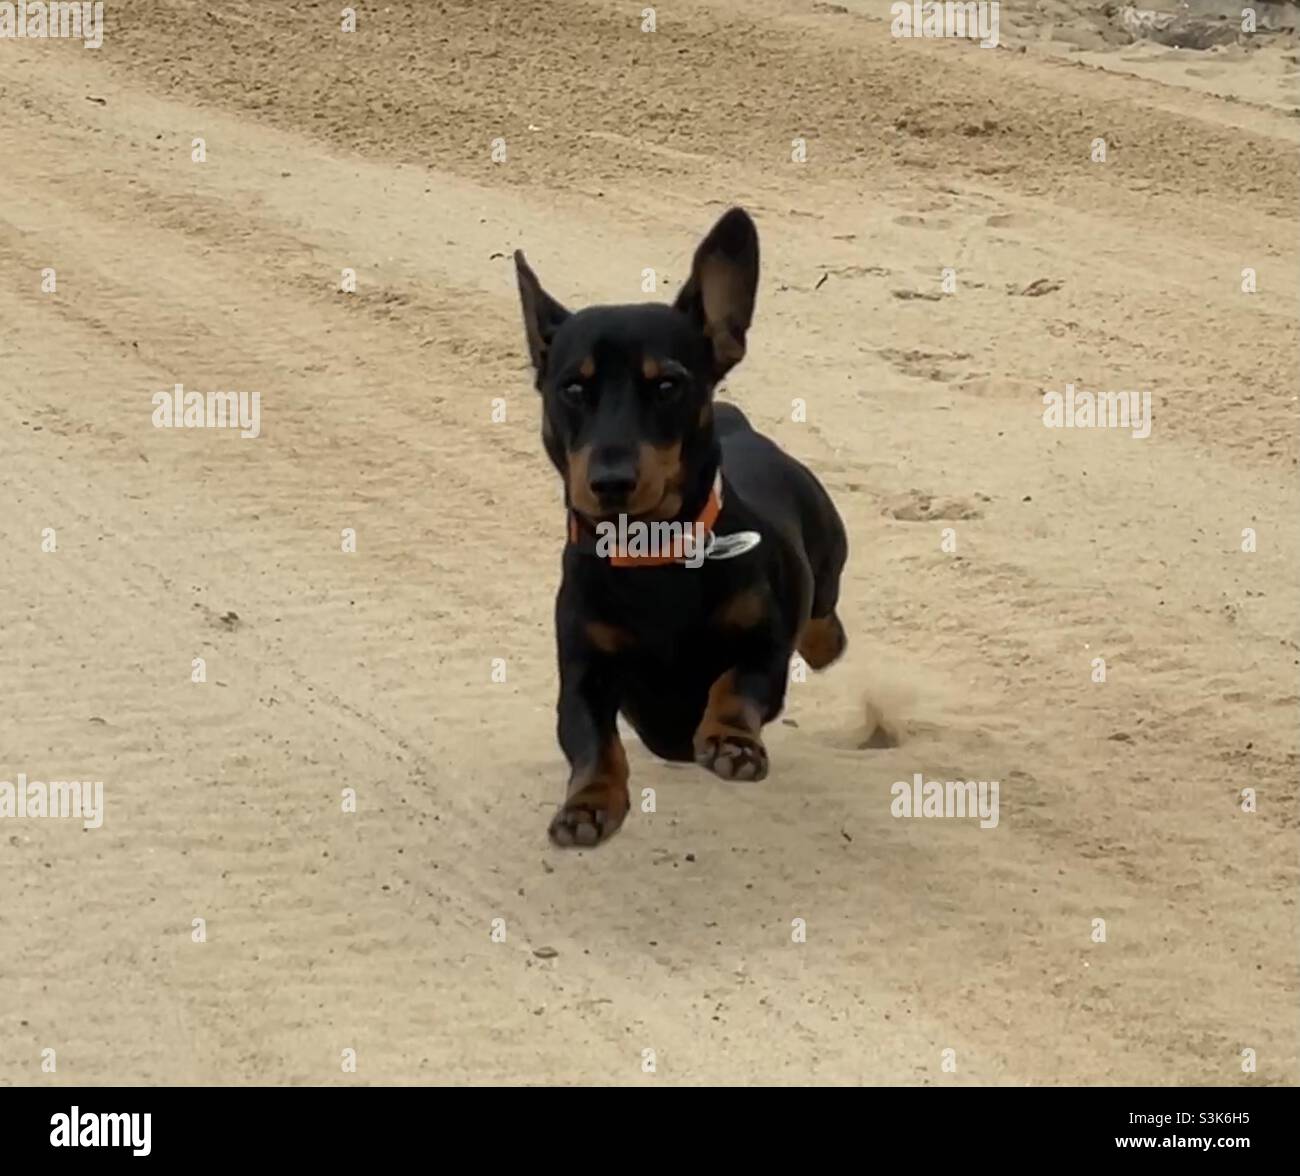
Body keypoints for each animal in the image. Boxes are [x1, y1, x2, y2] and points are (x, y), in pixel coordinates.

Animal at [512, 209, 847, 842]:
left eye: (667, 384)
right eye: (573, 388)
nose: (610, 480)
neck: (652, 557)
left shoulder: (763, 649)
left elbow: (734, 683)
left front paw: (732, 742)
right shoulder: (584, 676)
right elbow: (593, 742)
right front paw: (588, 804)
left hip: (826, 555)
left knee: (823, 615)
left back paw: (824, 642)